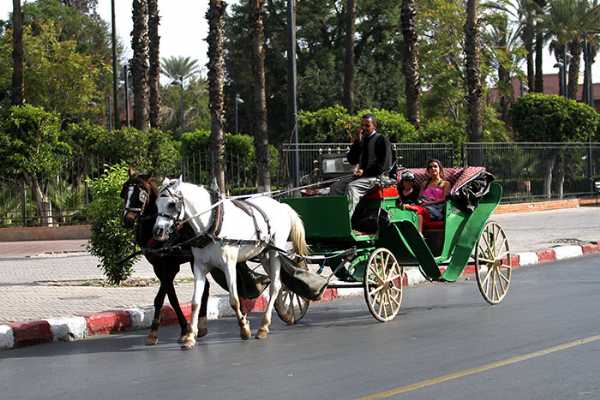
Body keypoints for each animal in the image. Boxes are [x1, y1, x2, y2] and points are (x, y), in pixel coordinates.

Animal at [120, 169, 210, 345]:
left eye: (141, 194)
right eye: (125, 192)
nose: (127, 220)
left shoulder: (170, 267)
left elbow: (162, 298)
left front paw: (154, 332)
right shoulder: (158, 267)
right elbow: (171, 297)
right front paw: (184, 329)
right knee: (207, 286)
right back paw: (202, 325)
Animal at [152, 177, 309, 350]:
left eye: (171, 204)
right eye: (156, 204)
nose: (158, 231)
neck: (212, 224)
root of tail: (282, 206)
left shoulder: (229, 265)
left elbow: (234, 300)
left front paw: (244, 329)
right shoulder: (199, 267)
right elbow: (195, 303)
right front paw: (190, 337)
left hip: (276, 252)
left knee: (275, 286)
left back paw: (263, 327)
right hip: (264, 253)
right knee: (279, 284)